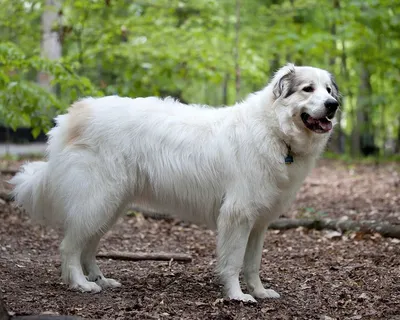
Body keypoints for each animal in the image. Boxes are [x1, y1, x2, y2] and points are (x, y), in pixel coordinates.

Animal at [10, 63, 340, 302]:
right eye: (308, 89)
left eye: (328, 89)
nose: (333, 104)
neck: (275, 131)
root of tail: (72, 115)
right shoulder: (238, 215)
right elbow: (234, 262)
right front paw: (237, 296)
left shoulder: (258, 223)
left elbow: (252, 264)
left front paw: (259, 291)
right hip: (97, 200)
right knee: (69, 247)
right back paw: (81, 284)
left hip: (109, 206)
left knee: (88, 247)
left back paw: (101, 279)